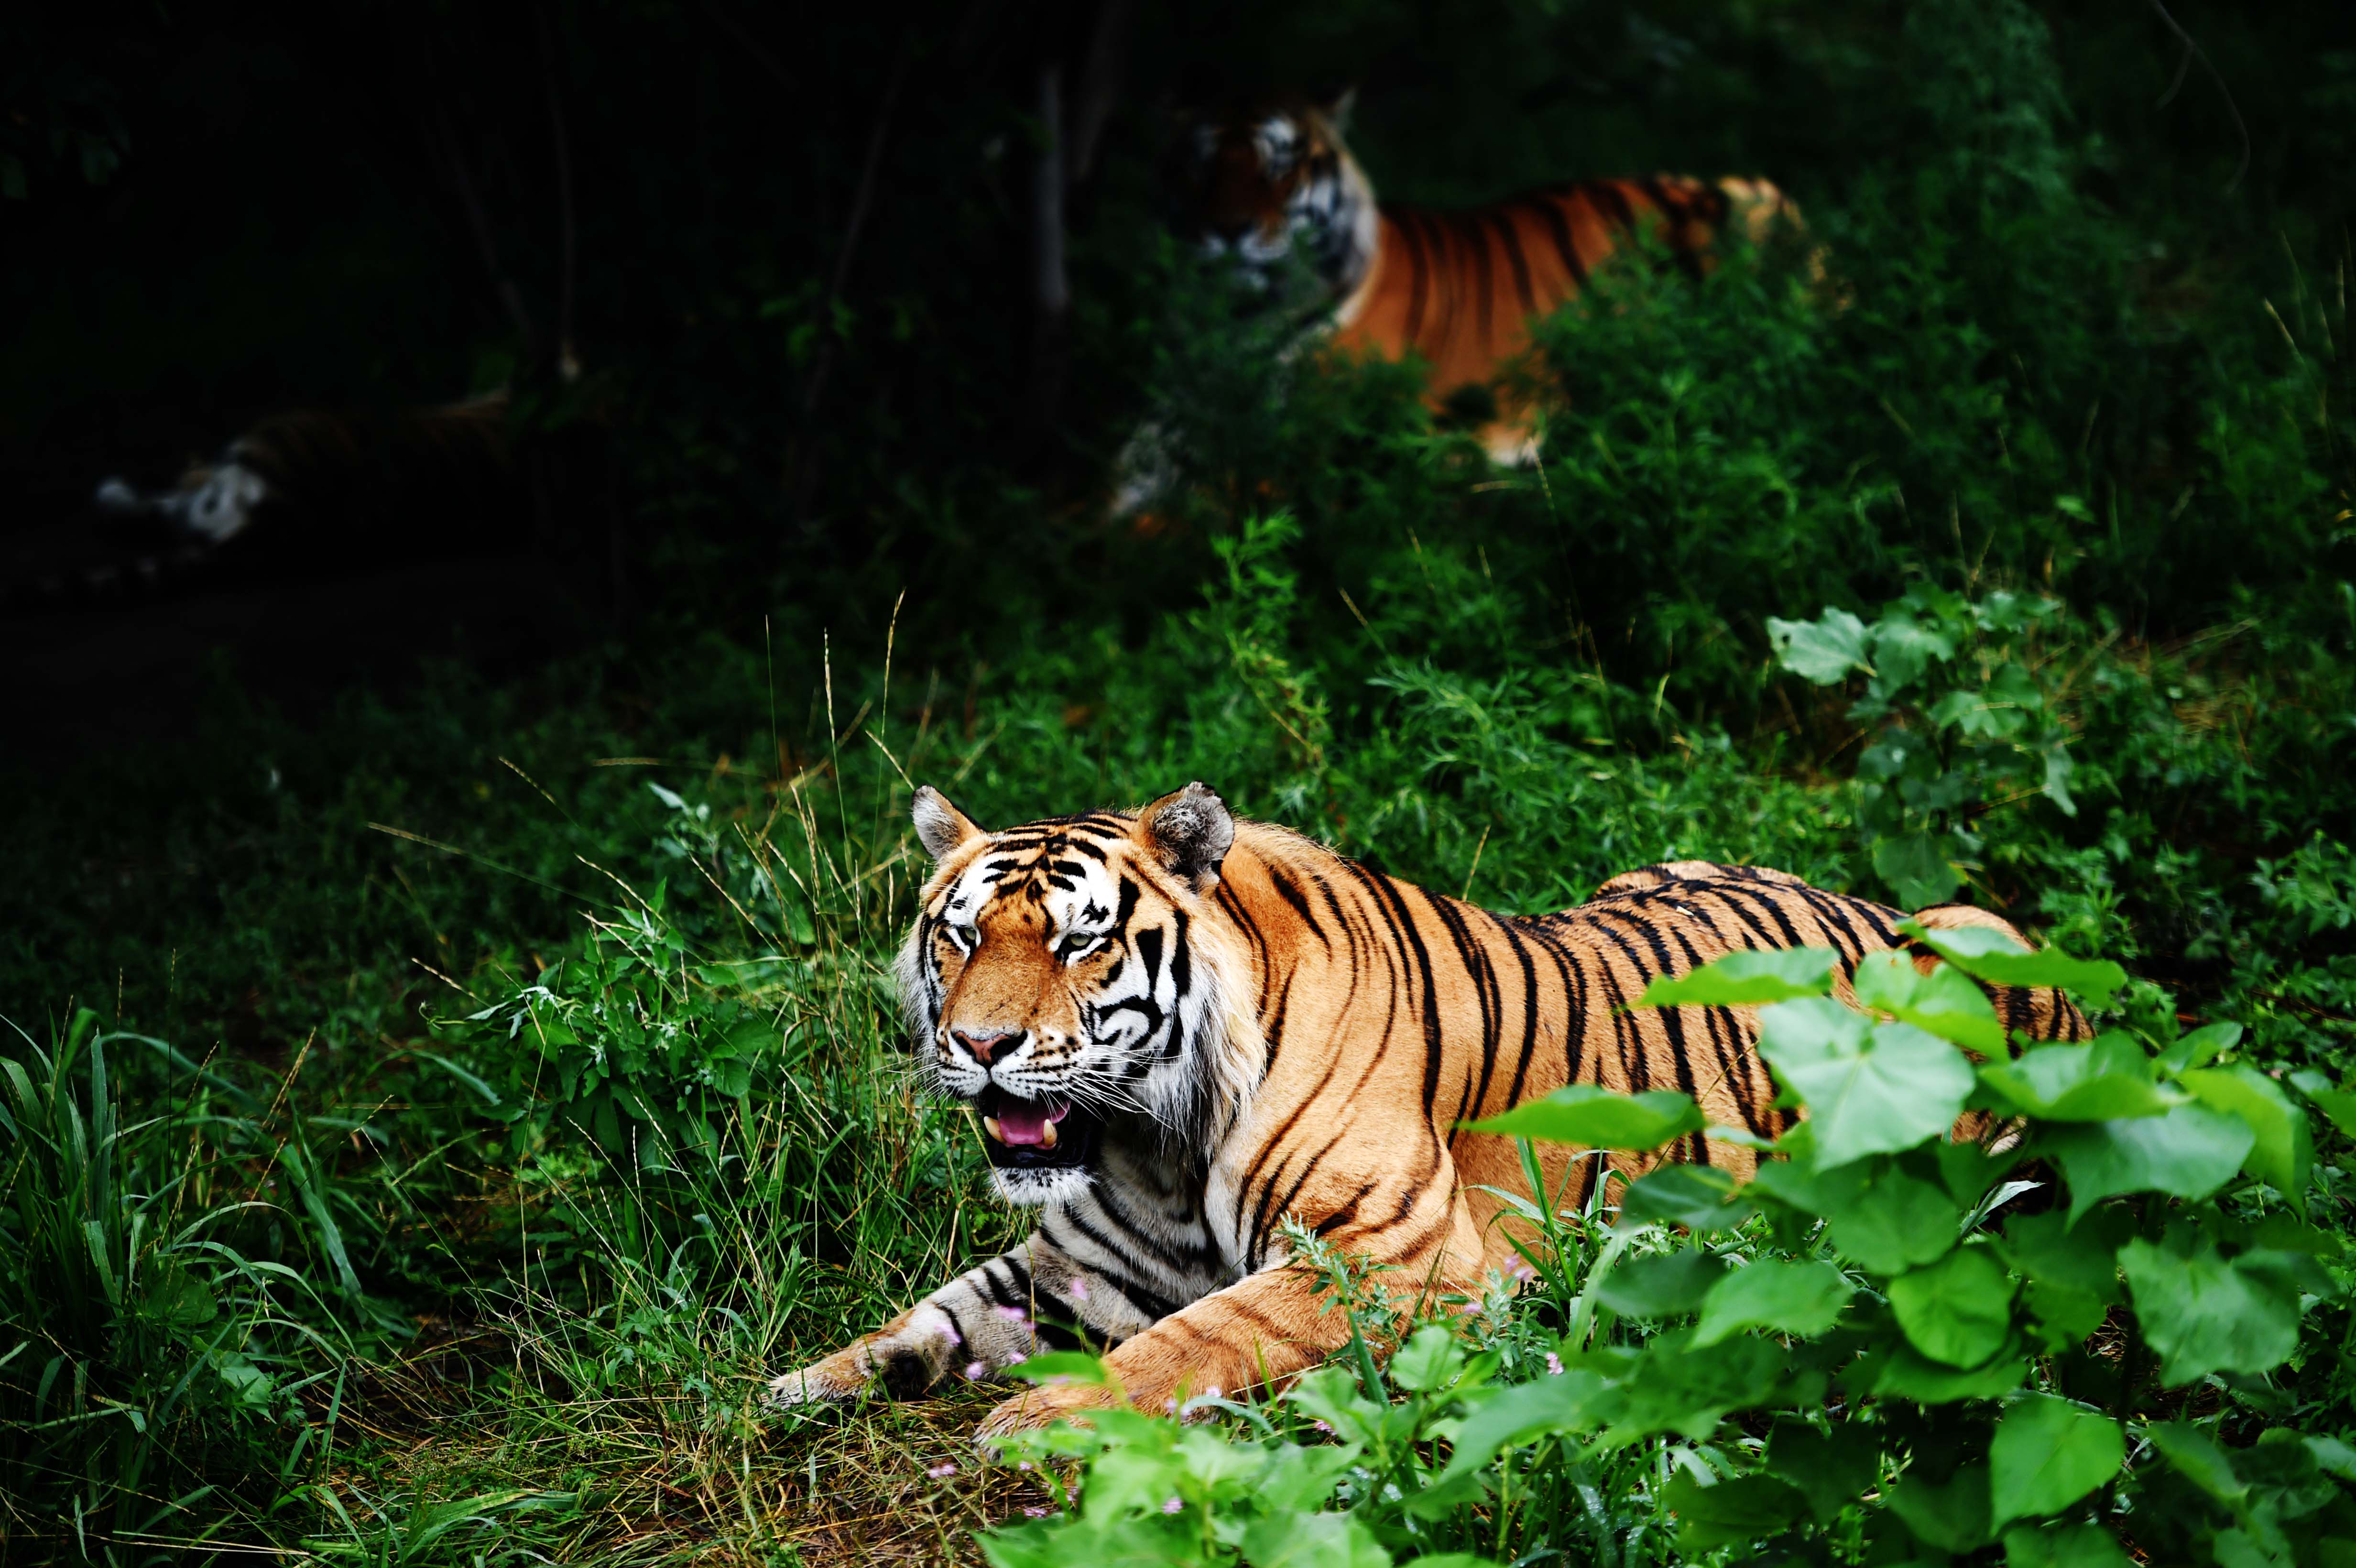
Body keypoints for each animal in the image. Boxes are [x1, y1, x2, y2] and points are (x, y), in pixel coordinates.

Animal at [768, 777, 2083, 1431]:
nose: (977, 1044)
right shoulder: (1080, 1263)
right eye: (960, 935)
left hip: (1979, 948)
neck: (1153, 1137)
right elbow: (937, 1312)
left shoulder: (1392, 1253)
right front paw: (802, 1385)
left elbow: (1194, 1336)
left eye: (1079, 940)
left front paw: (1041, 1417)